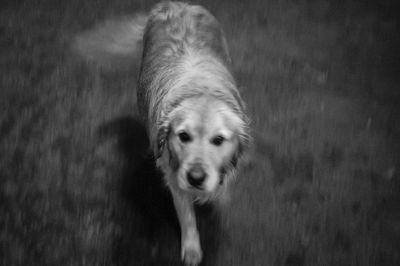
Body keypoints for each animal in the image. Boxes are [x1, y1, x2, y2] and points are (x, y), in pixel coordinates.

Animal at [73, 1, 248, 264]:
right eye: (183, 136)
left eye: (218, 139)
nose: (196, 178)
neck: (200, 89)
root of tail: (174, 5)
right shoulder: (174, 175)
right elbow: (187, 217)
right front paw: (192, 248)